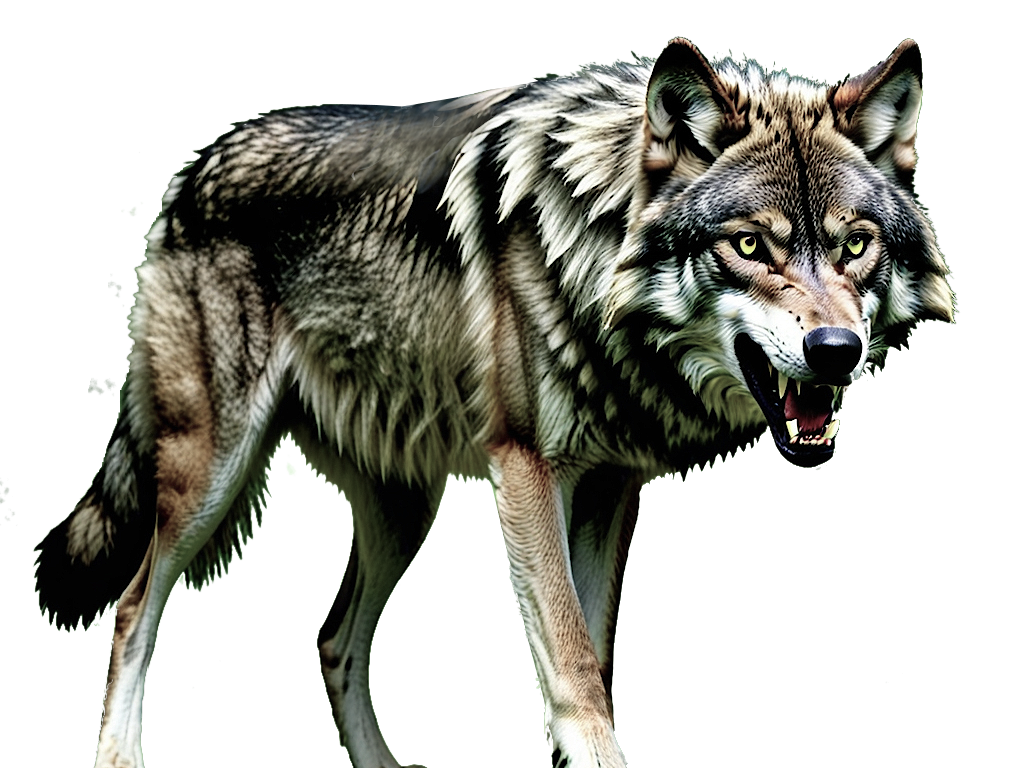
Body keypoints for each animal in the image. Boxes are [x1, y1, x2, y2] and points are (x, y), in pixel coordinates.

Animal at [33, 37, 952, 767]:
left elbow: (596, 659)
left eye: (855, 246)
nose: (836, 352)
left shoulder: (611, 484)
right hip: (208, 474)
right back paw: (120, 757)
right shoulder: (526, 467)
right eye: (752, 245)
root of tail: (193, 168)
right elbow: (574, 668)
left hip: (408, 511)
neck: (594, 250)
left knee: (332, 640)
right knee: (133, 606)